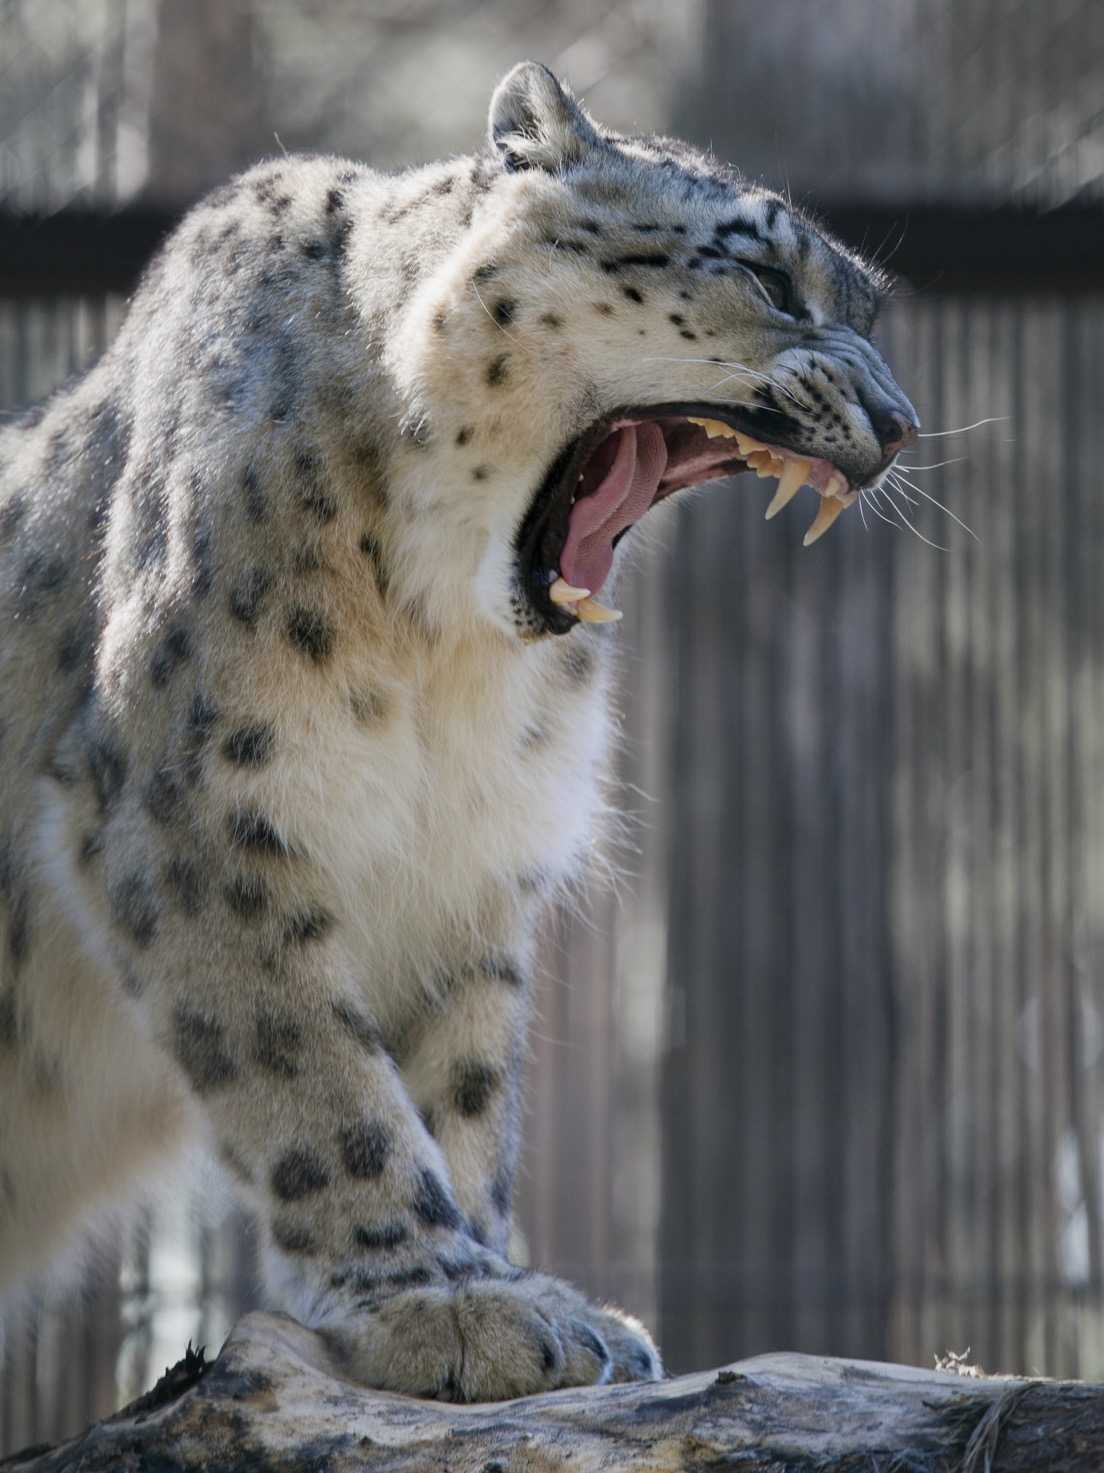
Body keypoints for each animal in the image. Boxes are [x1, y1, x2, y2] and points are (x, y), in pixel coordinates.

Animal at [0, 63, 913, 1396]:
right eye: (764, 274)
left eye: (873, 309)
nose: (899, 422)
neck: (437, 648)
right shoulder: (191, 807)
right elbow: (309, 1065)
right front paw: (442, 1298)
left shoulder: (470, 865)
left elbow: (461, 1083)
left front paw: (514, 1287)